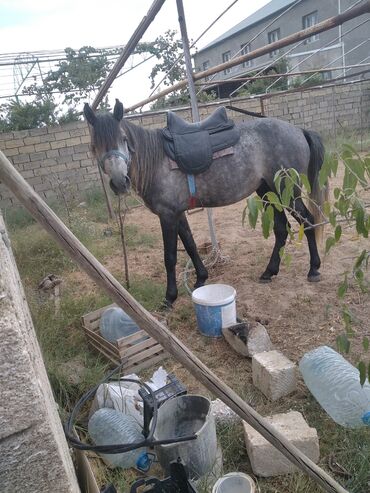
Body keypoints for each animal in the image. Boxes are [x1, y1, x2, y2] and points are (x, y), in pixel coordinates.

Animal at [84, 99, 326, 308]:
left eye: (124, 139)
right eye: (94, 145)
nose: (119, 182)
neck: (156, 161)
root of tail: (298, 130)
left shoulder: (167, 215)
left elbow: (170, 257)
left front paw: (169, 297)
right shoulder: (178, 213)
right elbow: (190, 245)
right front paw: (201, 278)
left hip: (288, 192)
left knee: (308, 221)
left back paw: (313, 269)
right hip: (268, 192)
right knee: (281, 229)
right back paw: (269, 272)